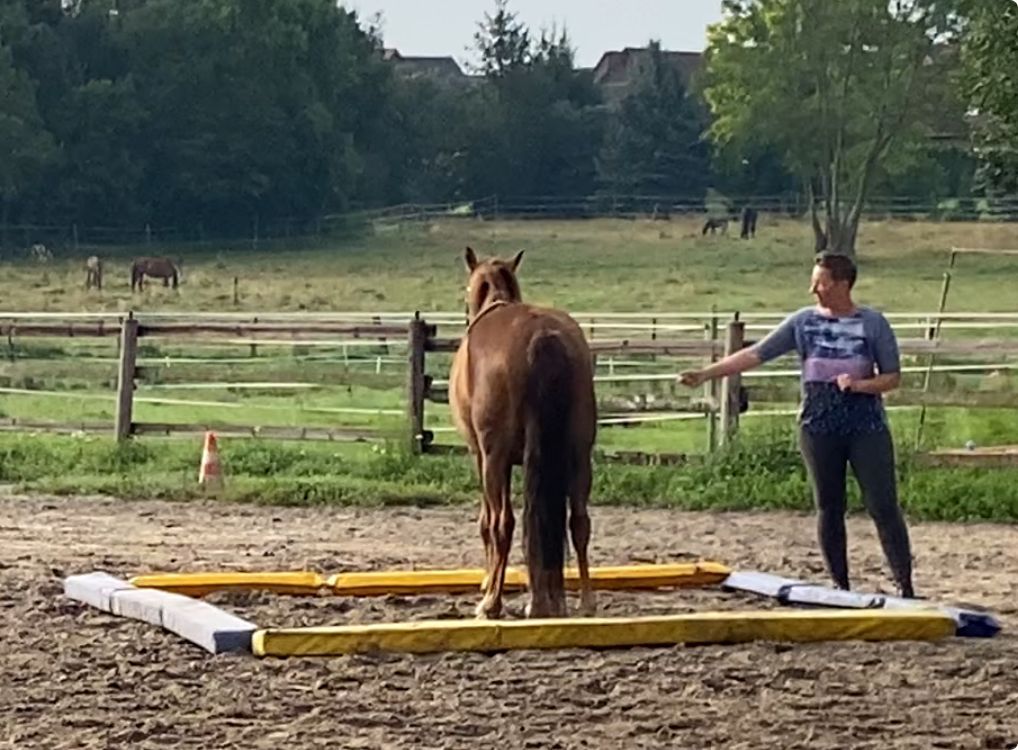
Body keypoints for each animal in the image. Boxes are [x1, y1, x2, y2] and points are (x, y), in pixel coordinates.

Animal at [449, 246, 597, 620]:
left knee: (504, 523)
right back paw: (584, 601)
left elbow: (488, 522)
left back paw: (492, 604)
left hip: (495, 458)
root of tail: (544, 337)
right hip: (579, 455)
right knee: (579, 521)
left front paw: (489, 587)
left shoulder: (482, 457)